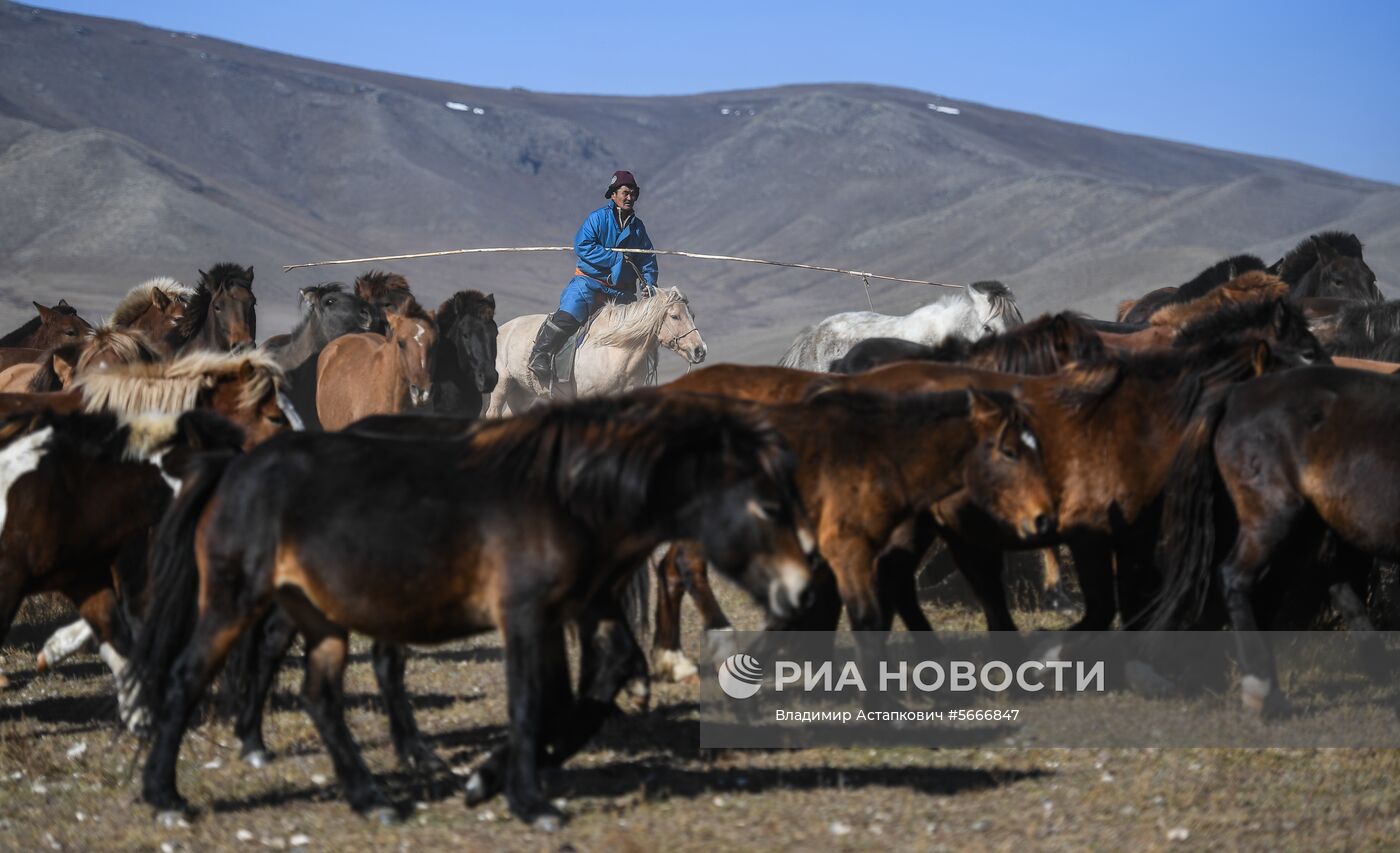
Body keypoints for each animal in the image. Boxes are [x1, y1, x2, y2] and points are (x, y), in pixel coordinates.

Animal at [126, 392, 817, 823]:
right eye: (768, 506)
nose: (801, 591)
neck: (566, 491)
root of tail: (234, 467)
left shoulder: (569, 611)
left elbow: (584, 689)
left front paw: (493, 779)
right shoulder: (526, 615)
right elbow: (533, 701)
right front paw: (527, 800)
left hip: (323, 615)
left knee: (321, 694)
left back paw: (372, 794)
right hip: (238, 600)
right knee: (192, 677)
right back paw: (170, 794)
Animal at [492, 285, 711, 414]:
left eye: (692, 315)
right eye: (675, 316)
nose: (700, 350)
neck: (613, 351)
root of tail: (502, 329)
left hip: (522, 394)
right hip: (501, 388)